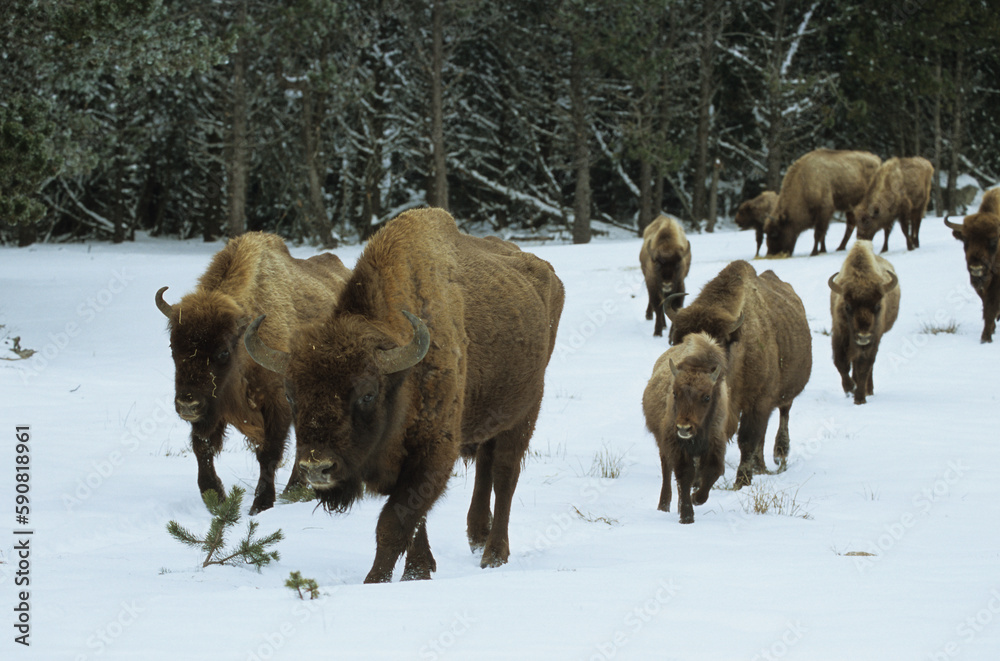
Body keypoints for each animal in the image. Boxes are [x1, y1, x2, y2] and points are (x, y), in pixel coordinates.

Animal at [156, 232, 350, 514]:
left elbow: (268, 454)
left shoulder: (277, 404)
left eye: (223, 352)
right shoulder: (212, 411)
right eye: (173, 347)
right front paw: (215, 497)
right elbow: (202, 447)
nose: (187, 404)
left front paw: (261, 504)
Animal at [243, 208, 564, 583]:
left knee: (504, 475)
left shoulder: (433, 453)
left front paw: (376, 581)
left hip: (525, 411)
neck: (403, 376)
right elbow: (414, 521)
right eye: (292, 395)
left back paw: (494, 554)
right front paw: (419, 570)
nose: (316, 468)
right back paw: (476, 536)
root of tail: (549, 274)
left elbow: (395, 521)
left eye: (367, 394)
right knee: (486, 467)